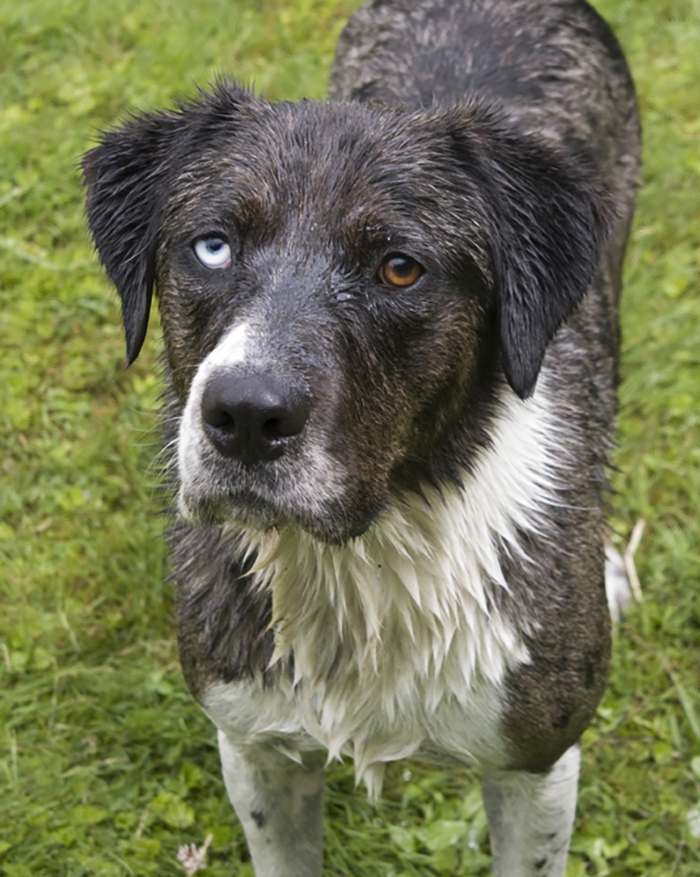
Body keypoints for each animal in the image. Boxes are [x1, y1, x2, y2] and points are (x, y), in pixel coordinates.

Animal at [82, 3, 640, 872]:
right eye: (212, 246)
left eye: (400, 267)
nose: (246, 415)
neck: (363, 559)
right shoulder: (255, 744)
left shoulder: (536, 762)